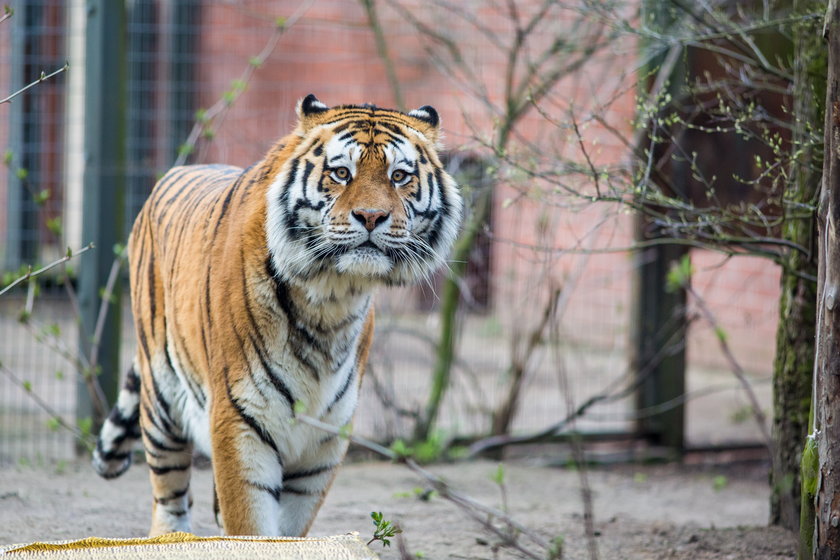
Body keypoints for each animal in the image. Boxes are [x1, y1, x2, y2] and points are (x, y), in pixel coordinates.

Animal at [94, 94, 462, 536]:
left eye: (399, 176)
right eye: (341, 173)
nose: (372, 216)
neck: (332, 298)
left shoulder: (323, 441)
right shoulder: (239, 420)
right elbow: (251, 524)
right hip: (161, 399)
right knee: (169, 496)